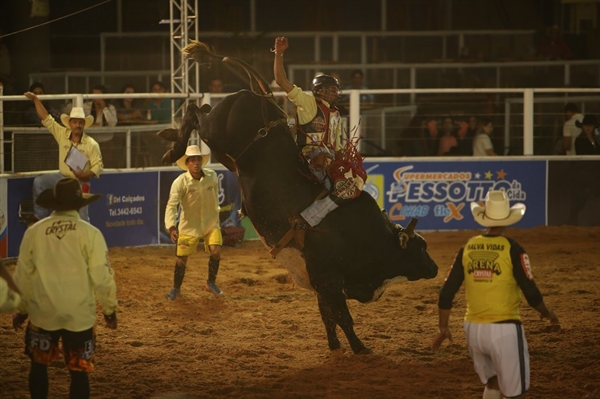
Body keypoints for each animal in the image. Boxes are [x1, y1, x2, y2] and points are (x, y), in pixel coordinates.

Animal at [161, 63, 436, 356]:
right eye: (420, 249)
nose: (435, 268)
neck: (367, 238)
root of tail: (257, 97)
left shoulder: (320, 283)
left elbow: (328, 317)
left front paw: (335, 346)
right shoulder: (328, 279)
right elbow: (343, 317)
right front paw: (360, 347)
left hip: (226, 153)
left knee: (198, 110)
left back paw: (171, 137)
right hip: (215, 132)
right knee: (194, 112)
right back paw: (172, 148)